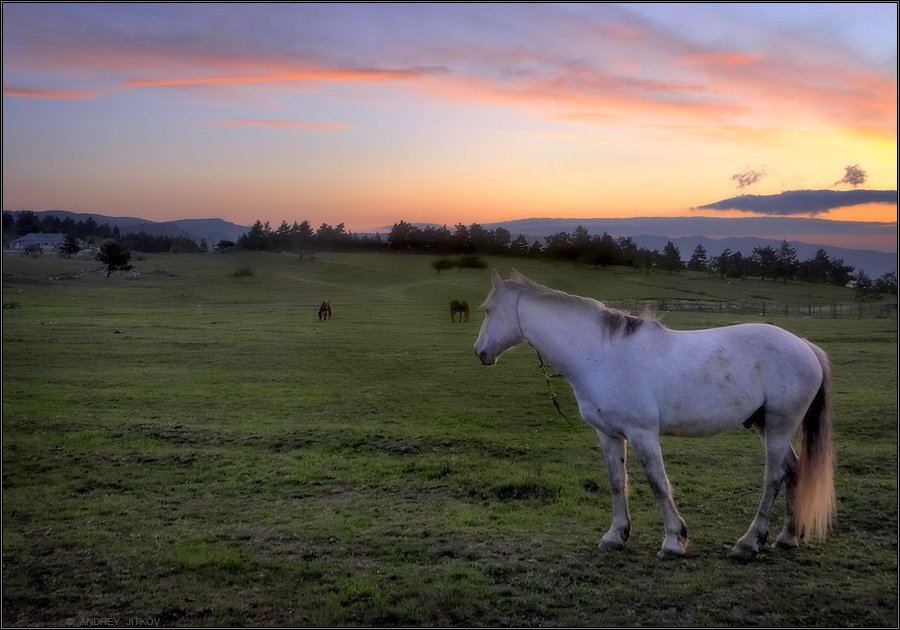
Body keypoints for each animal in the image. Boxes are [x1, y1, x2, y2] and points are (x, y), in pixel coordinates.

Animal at [474, 272, 832, 564]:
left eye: (488, 310)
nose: (480, 352)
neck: (601, 355)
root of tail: (805, 346)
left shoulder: (642, 433)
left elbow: (658, 482)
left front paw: (674, 541)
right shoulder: (609, 434)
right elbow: (617, 482)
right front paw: (615, 536)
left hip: (780, 426)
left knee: (774, 477)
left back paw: (748, 543)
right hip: (766, 425)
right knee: (793, 470)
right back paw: (787, 537)